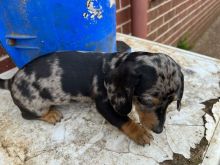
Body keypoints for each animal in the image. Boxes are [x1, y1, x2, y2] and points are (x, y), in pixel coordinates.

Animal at [0, 51, 184, 145]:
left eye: (172, 102)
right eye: (146, 101)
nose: (159, 130)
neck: (115, 64)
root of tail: (11, 80)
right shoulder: (103, 104)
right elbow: (123, 119)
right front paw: (139, 132)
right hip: (35, 106)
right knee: (27, 115)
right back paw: (51, 114)